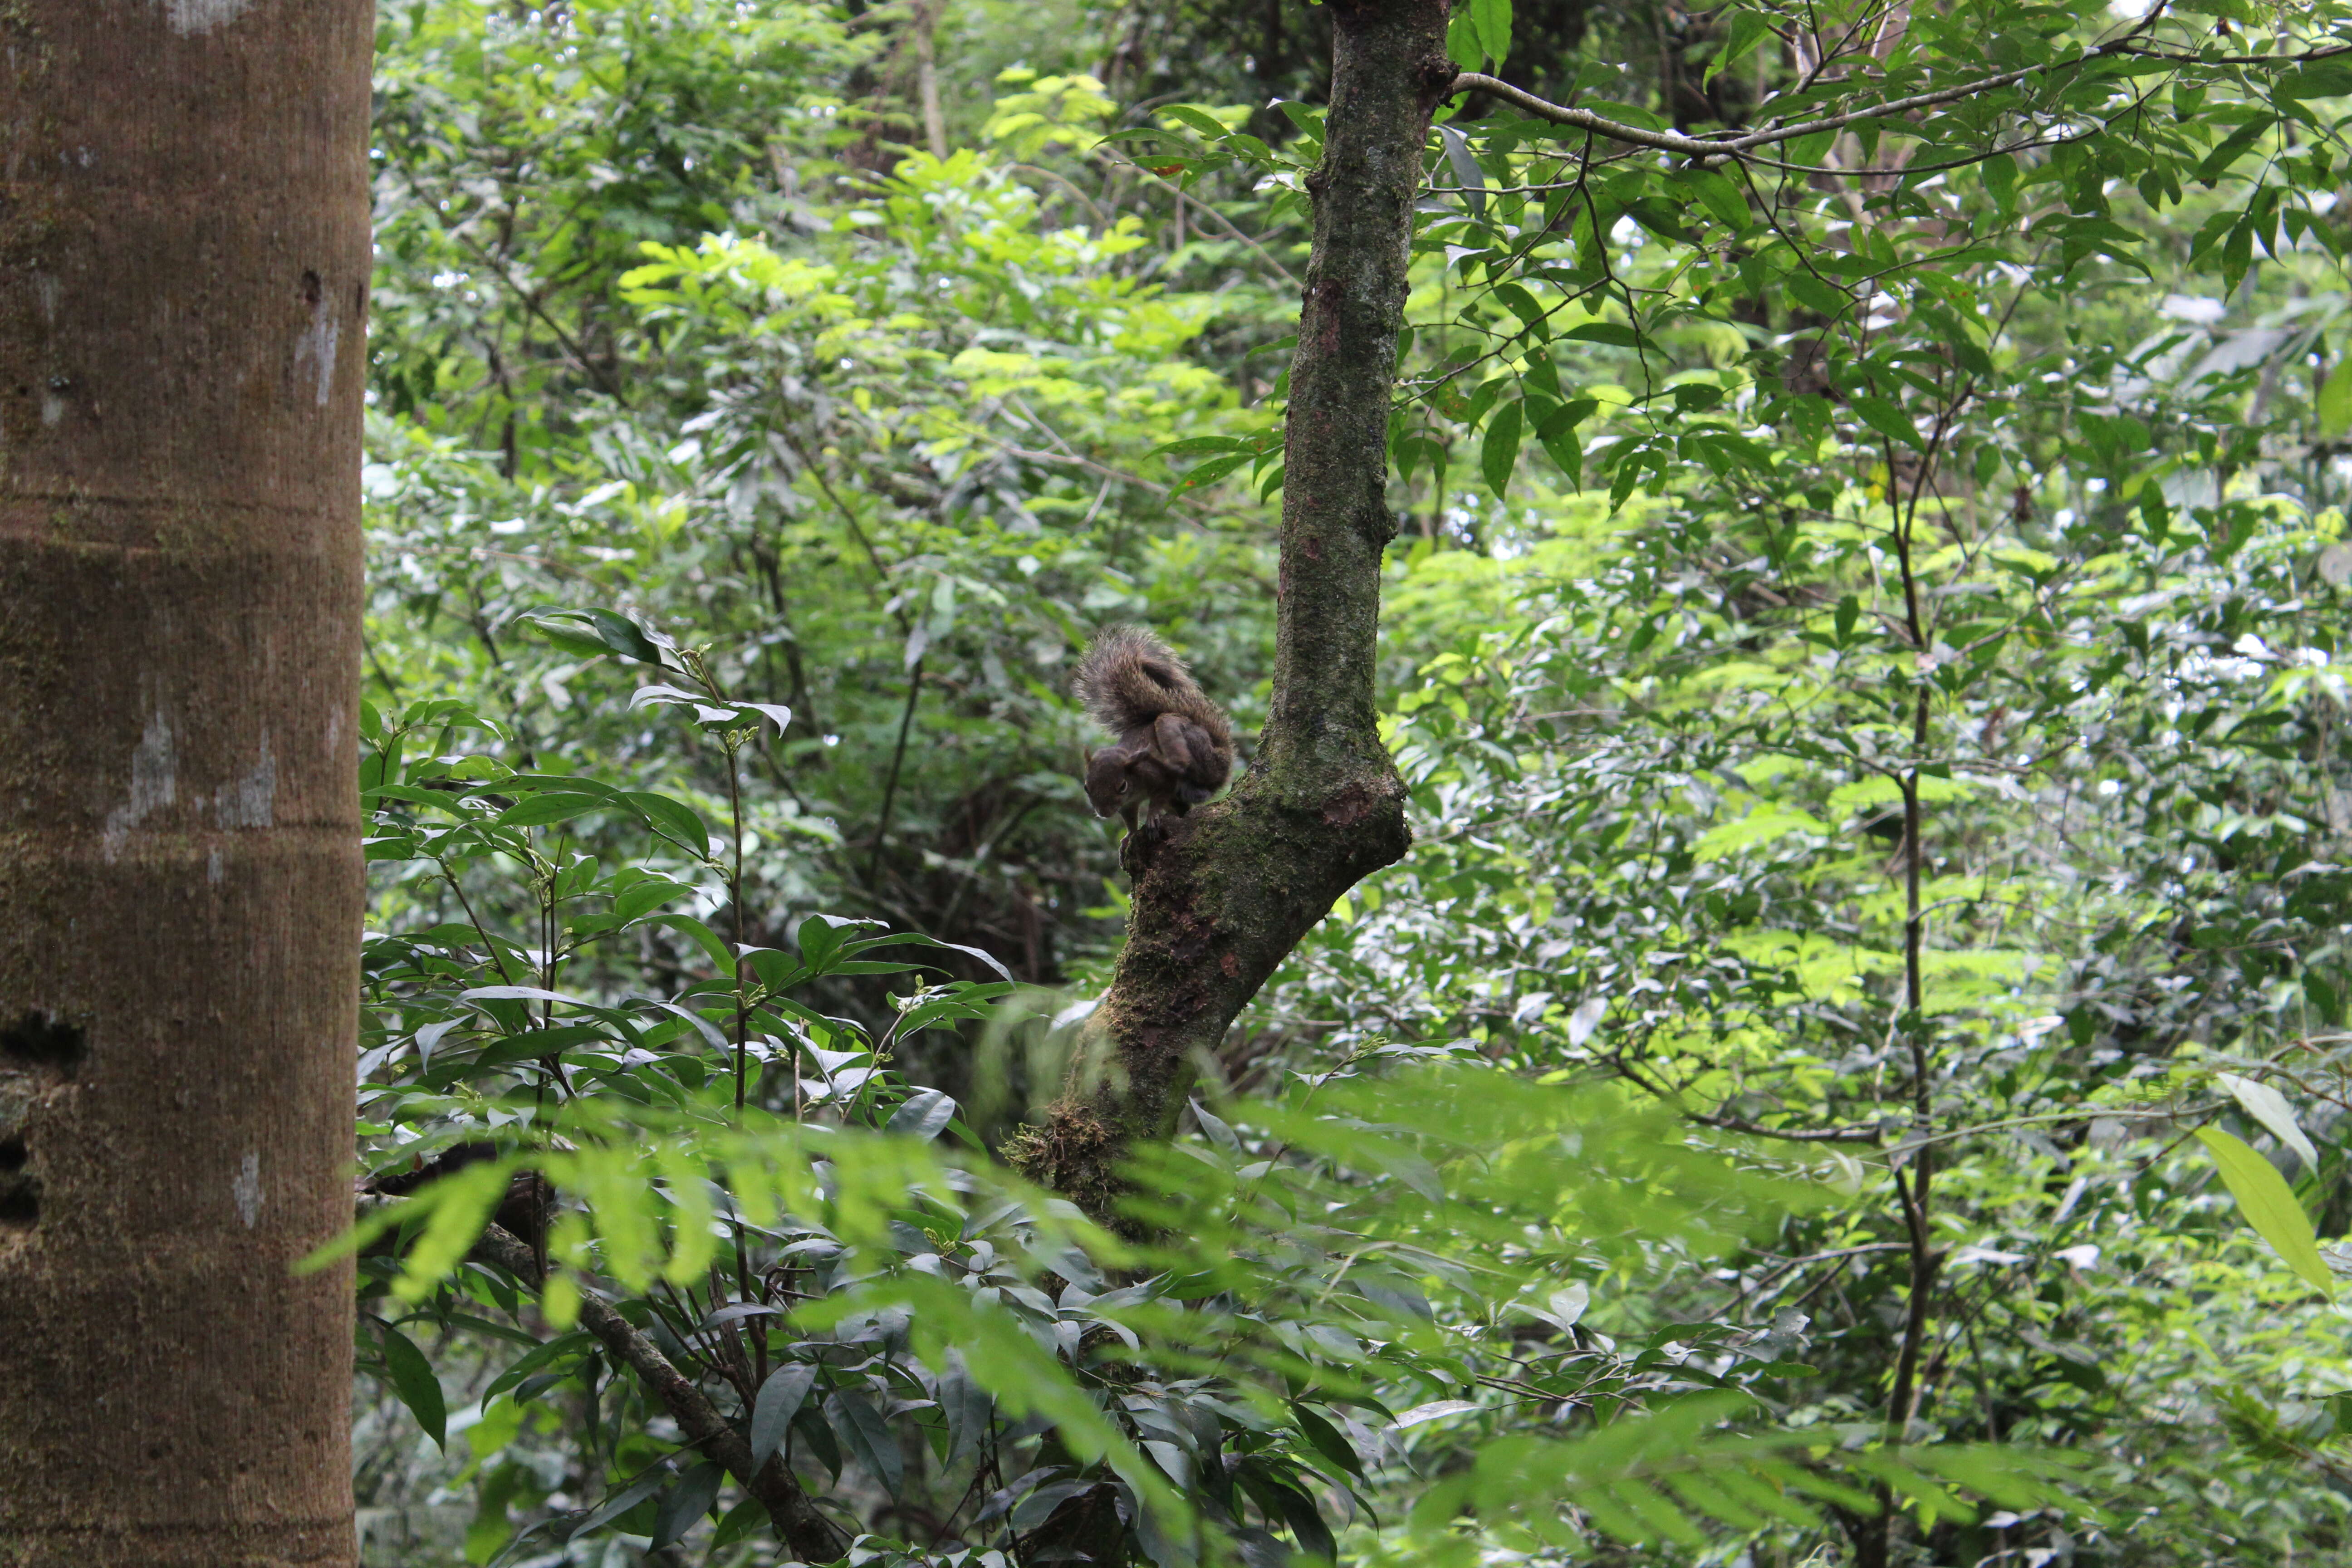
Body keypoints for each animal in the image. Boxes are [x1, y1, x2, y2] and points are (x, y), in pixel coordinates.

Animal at [1077, 625, 1242, 832]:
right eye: (1086, 787)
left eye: (1122, 786)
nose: (1104, 813)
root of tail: (1222, 757)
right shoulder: (1128, 804)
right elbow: (1130, 818)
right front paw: (1129, 836)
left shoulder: (1158, 779)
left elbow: (1159, 797)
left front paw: (1152, 816)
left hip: (1198, 753)